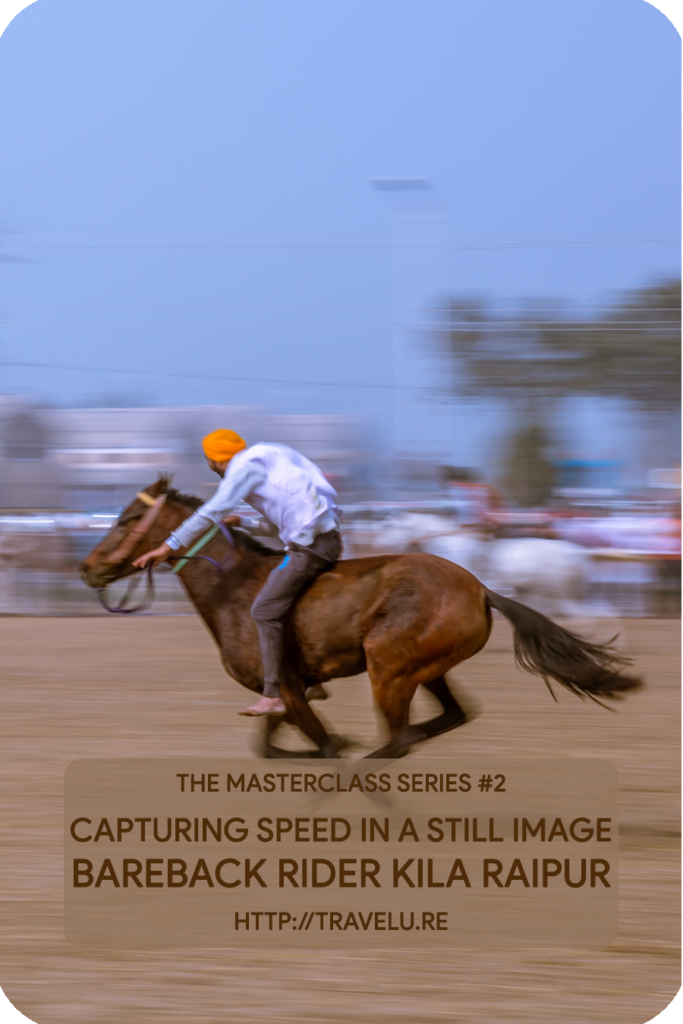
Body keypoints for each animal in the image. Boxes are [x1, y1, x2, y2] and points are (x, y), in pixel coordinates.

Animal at [80, 475, 643, 757]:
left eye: (129, 518)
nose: (87, 568)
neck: (233, 591)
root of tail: (481, 588)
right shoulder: (288, 693)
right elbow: (272, 747)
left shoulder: (285, 686)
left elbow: (321, 744)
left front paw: (338, 747)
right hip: (426, 669)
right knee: (446, 719)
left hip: (387, 667)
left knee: (396, 739)